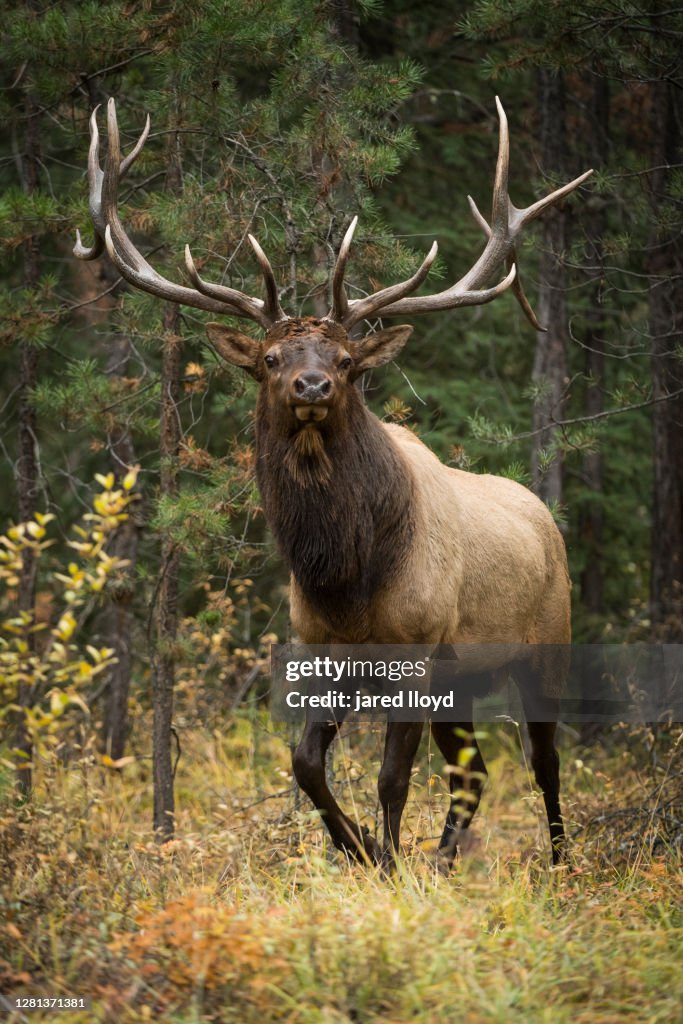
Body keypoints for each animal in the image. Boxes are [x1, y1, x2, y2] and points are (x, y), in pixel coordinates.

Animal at [76, 97, 592, 871]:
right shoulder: (324, 652)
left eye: (347, 359)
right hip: (465, 678)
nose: (312, 384)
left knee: (542, 761)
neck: (344, 576)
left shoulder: (416, 648)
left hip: (546, 644)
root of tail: (545, 518)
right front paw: (362, 851)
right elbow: (304, 764)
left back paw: (557, 865)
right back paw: (443, 861)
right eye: (270, 357)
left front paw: (387, 863)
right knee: (473, 770)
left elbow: (390, 778)